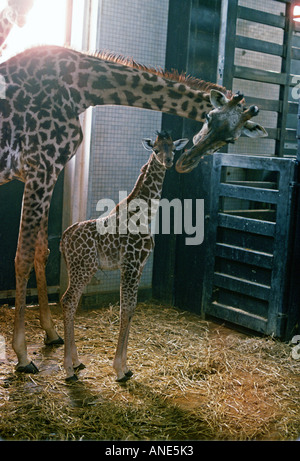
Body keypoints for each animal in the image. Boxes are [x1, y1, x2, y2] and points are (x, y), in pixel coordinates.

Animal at [59, 131, 189, 382]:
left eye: (173, 148)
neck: (146, 215)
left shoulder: (139, 266)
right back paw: (69, 369)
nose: (168, 161)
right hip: (84, 268)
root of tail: (64, 238)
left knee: (71, 302)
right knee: (68, 301)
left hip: (76, 268)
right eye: (156, 149)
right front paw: (119, 369)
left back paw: (77, 362)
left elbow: (131, 309)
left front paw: (126, 367)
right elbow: (125, 309)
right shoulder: (130, 264)